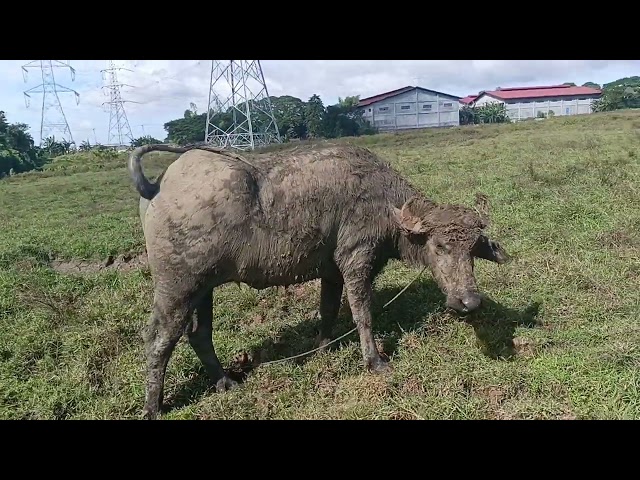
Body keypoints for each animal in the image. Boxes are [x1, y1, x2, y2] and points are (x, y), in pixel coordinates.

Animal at [129, 142, 510, 416]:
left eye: (472, 249)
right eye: (440, 245)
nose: (468, 302)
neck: (384, 206)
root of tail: (158, 185)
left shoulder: (331, 272)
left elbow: (327, 311)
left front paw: (323, 347)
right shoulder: (356, 259)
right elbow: (362, 313)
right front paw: (374, 361)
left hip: (203, 287)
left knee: (198, 334)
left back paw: (225, 382)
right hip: (177, 287)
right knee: (158, 339)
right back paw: (153, 406)